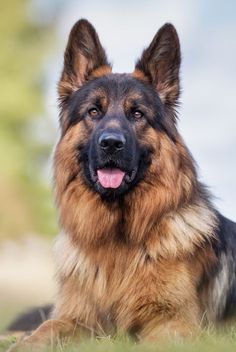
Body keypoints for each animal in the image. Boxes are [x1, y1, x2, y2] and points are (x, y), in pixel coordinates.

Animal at [9, 18, 236, 350]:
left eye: (137, 114)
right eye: (93, 111)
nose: (111, 144)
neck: (117, 241)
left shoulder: (174, 324)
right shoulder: (75, 318)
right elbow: (44, 329)